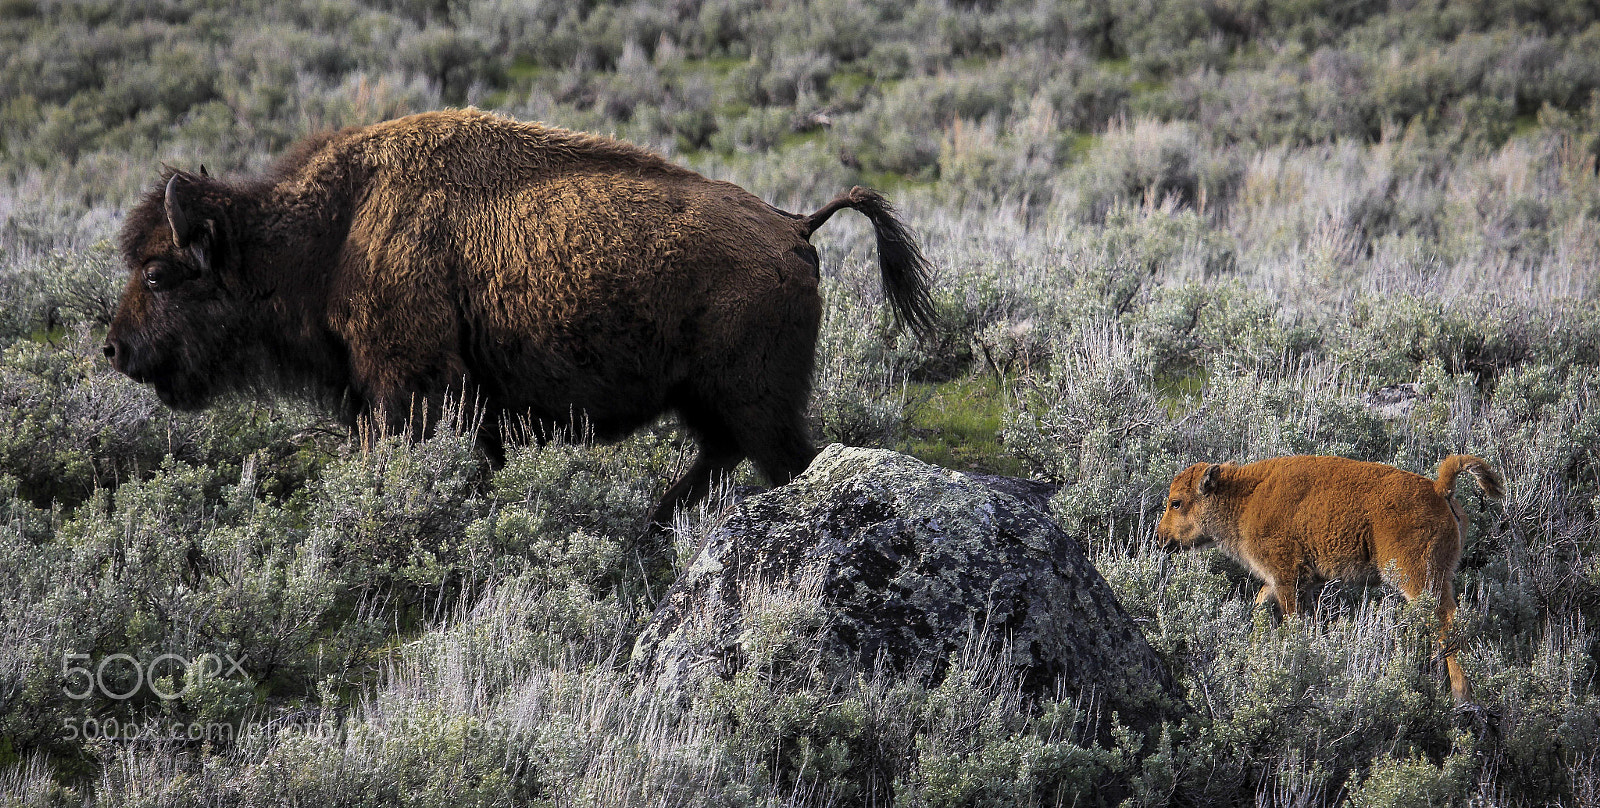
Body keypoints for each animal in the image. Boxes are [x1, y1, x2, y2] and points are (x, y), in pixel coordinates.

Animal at [106, 108, 934, 535]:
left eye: (159, 272)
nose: (114, 349)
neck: (335, 233)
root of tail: (793, 226)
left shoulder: (405, 391)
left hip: (755, 403)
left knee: (783, 461)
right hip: (711, 401)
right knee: (719, 459)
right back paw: (650, 528)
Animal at [1156, 454, 1505, 704]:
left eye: (1176, 502)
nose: (1161, 539)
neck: (1246, 496)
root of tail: (1438, 489)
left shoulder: (1287, 578)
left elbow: (1291, 620)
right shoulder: (1289, 581)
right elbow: (1260, 605)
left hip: (1417, 578)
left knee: (1447, 623)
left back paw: (1461, 696)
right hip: (1440, 576)